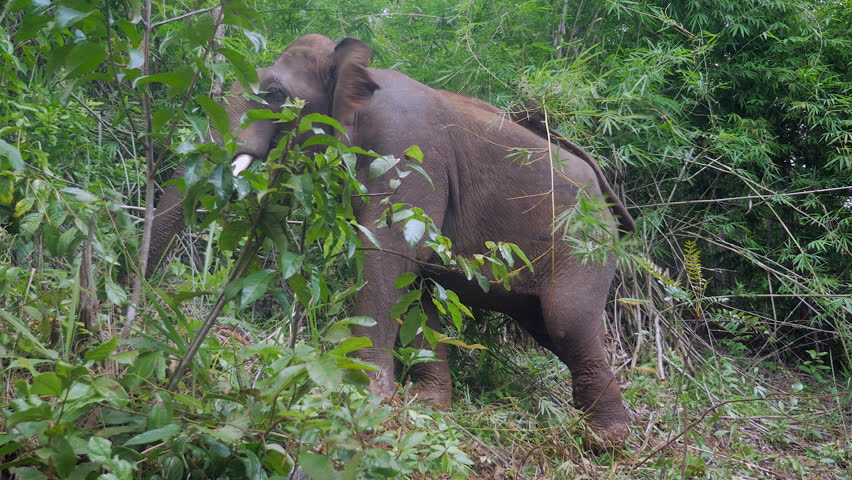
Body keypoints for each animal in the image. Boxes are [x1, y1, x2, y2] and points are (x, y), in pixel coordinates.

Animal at [150, 33, 636, 446]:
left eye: (273, 94)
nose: (154, 296)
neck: (361, 74)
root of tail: (604, 185)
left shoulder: (409, 151)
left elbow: (386, 252)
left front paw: (362, 394)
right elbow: (414, 281)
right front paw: (426, 406)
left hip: (585, 242)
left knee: (566, 322)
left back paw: (605, 441)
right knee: (550, 330)